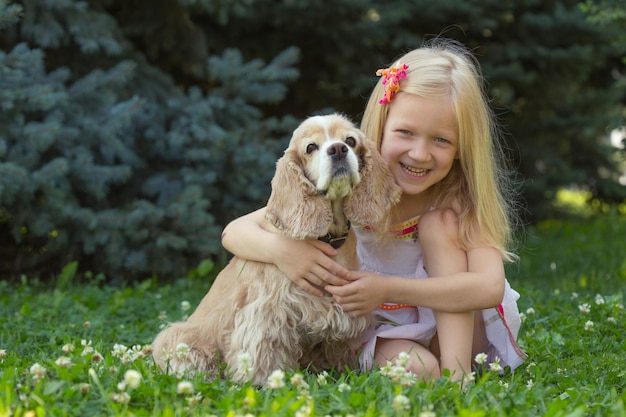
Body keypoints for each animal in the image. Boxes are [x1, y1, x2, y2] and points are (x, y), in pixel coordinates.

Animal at [150, 113, 400, 384]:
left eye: (351, 140)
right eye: (310, 147)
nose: (338, 149)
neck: (326, 237)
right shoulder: (267, 311)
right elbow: (263, 350)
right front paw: (262, 382)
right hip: (179, 336)